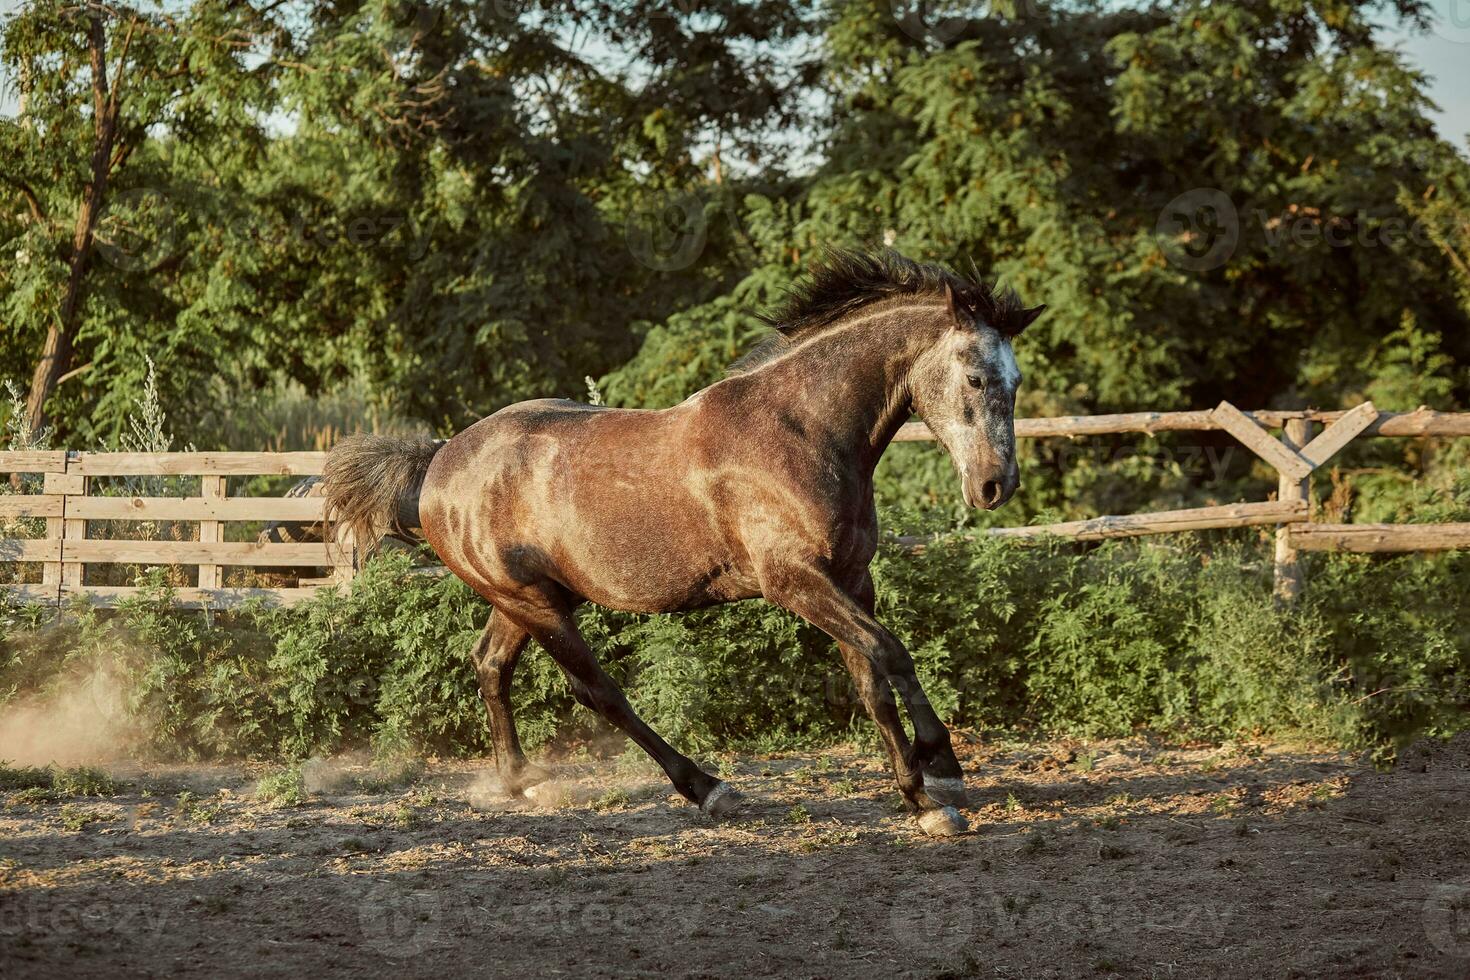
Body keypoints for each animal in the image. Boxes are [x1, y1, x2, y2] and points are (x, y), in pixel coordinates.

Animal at [318, 251, 1046, 834]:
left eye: (1015, 381)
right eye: (976, 378)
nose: (994, 486)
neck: (802, 431)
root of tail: (438, 462)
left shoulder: (849, 579)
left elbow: (871, 678)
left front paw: (924, 792)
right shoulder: (794, 582)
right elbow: (891, 653)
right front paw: (939, 775)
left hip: (534, 600)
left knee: (490, 664)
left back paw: (520, 782)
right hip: (535, 603)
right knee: (598, 692)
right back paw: (708, 788)